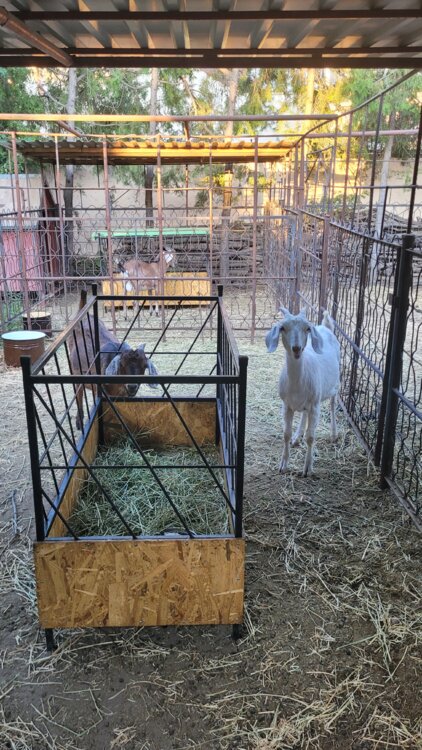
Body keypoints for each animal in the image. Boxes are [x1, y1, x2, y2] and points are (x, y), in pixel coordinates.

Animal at [69, 291, 158, 430]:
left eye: (144, 366)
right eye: (121, 364)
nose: (132, 386)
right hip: (74, 371)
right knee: (79, 392)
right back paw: (79, 422)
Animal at [265, 308, 340, 477]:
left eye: (307, 328)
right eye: (283, 328)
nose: (296, 348)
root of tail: (325, 326)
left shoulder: (315, 406)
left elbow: (311, 437)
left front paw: (307, 469)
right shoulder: (286, 405)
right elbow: (285, 434)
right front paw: (283, 465)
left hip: (336, 383)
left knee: (333, 404)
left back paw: (333, 435)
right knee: (304, 414)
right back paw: (296, 437)